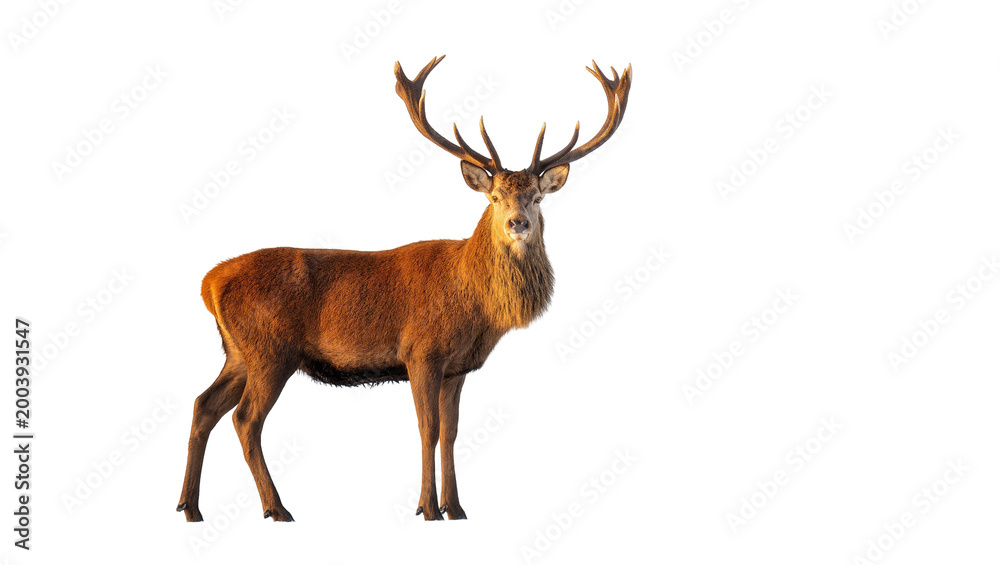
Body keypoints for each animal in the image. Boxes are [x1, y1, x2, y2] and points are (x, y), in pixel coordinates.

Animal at [176, 55, 631, 522]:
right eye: (494, 198)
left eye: (537, 197)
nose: (517, 223)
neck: (478, 308)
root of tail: (209, 282)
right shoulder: (421, 351)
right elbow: (428, 429)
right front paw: (427, 508)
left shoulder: (456, 367)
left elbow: (451, 431)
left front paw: (456, 507)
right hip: (270, 349)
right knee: (245, 419)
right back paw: (277, 508)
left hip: (238, 352)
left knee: (202, 405)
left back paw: (190, 506)